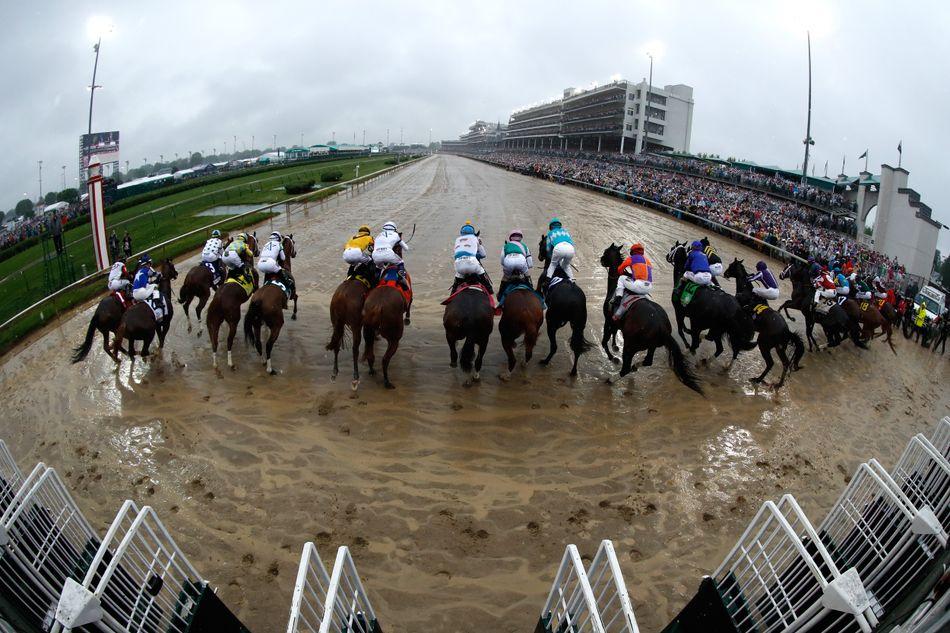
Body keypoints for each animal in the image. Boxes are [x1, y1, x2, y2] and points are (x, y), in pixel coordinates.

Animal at [330, 260, 378, 388]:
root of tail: (341, 297)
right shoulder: (365, 324)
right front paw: (371, 368)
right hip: (355, 326)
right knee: (355, 349)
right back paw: (355, 377)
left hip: (337, 324)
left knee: (336, 344)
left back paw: (334, 372)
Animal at [600, 242, 704, 390]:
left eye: (606, 252)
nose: (601, 260)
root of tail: (662, 327)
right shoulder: (616, 323)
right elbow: (613, 334)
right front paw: (614, 347)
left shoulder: (608, 320)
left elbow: (604, 340)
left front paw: (612, 357)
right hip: (651, 346)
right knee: (647, 361)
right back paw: (635, 366)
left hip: (631, 345)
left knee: (626, 368)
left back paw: (611, 378)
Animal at [724, 260, 808, 388]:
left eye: (731, 266)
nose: (725, 273)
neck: (746, 291)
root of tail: (787, 331)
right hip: (780, 347)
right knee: (786, 363)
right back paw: (778, 384)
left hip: (764, 343)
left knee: (770, 363)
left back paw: (757, 379)